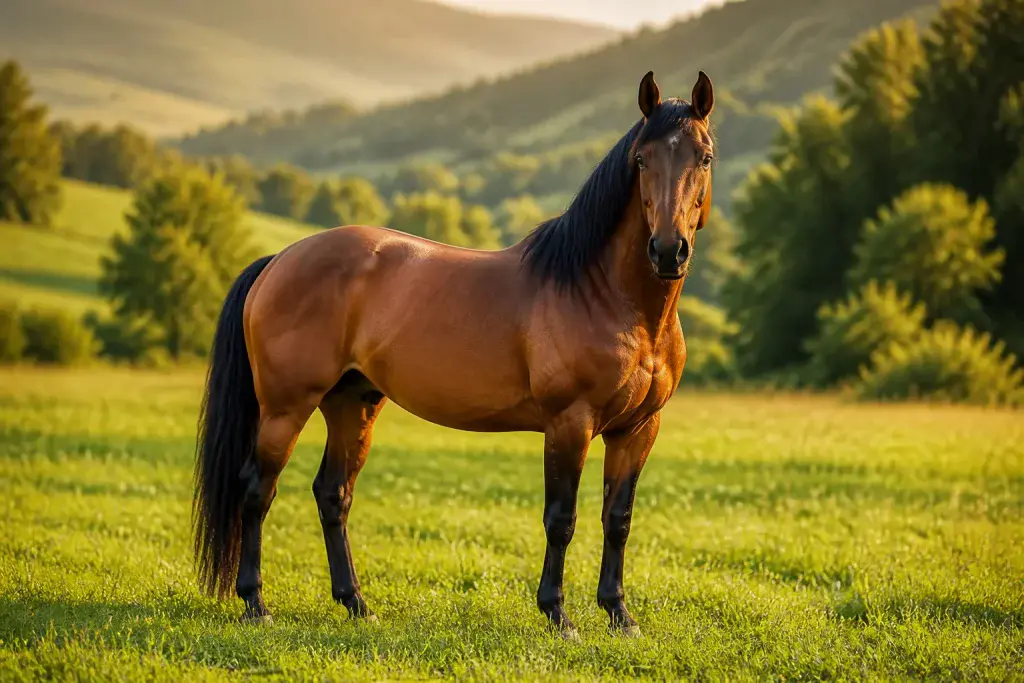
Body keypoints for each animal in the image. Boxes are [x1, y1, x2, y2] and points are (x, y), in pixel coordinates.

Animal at [192, 69, 716, 639]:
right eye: (642, 160)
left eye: (704, 157)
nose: (667, 251)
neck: (604, 293)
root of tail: (279, 259)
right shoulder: (568, 423)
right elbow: (562, 518)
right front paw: (558, 614)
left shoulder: (638, 429)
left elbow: (617, 519)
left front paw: (619, 613)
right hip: (285, 409)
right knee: (256, 491)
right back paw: (255, 603)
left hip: (352, 405)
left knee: (333, 496)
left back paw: (356, 604)